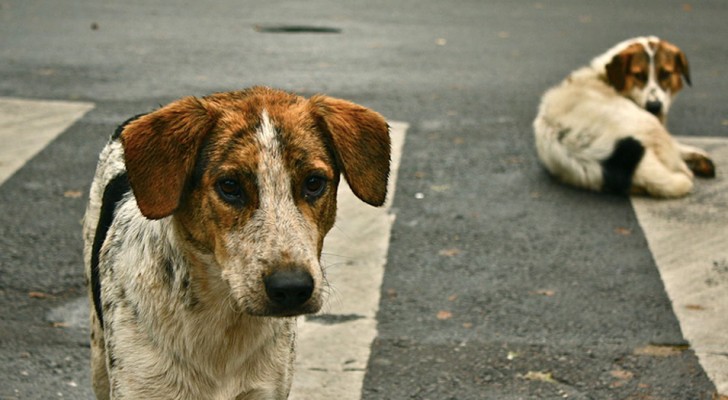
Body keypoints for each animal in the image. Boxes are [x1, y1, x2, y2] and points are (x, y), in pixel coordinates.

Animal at [532, 36, 712, 197]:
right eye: (638, 75)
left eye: (665, 74)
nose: (654, 106)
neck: (604, 77)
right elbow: (677, 146)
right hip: (649, 124)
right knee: (680, 167)